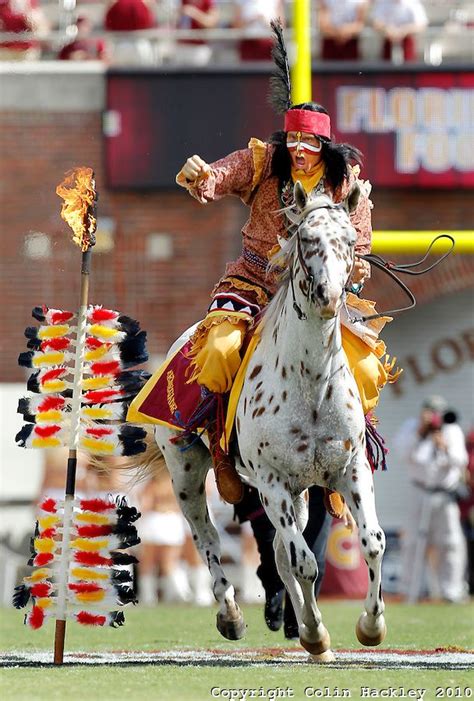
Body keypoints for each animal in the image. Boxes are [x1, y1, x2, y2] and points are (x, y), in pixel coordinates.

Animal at [145, 180, 388, 656]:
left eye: (351, 241)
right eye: (307, 239)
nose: (329, 297)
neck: (311, 382)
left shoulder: (351, 470)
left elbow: (370, 543)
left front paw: (369, 626)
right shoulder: (272, 481)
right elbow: (304, 562)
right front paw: (316, 630)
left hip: (296, 492)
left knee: (279, 551)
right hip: (187, 475)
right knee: (209, 540)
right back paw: (231, 615)